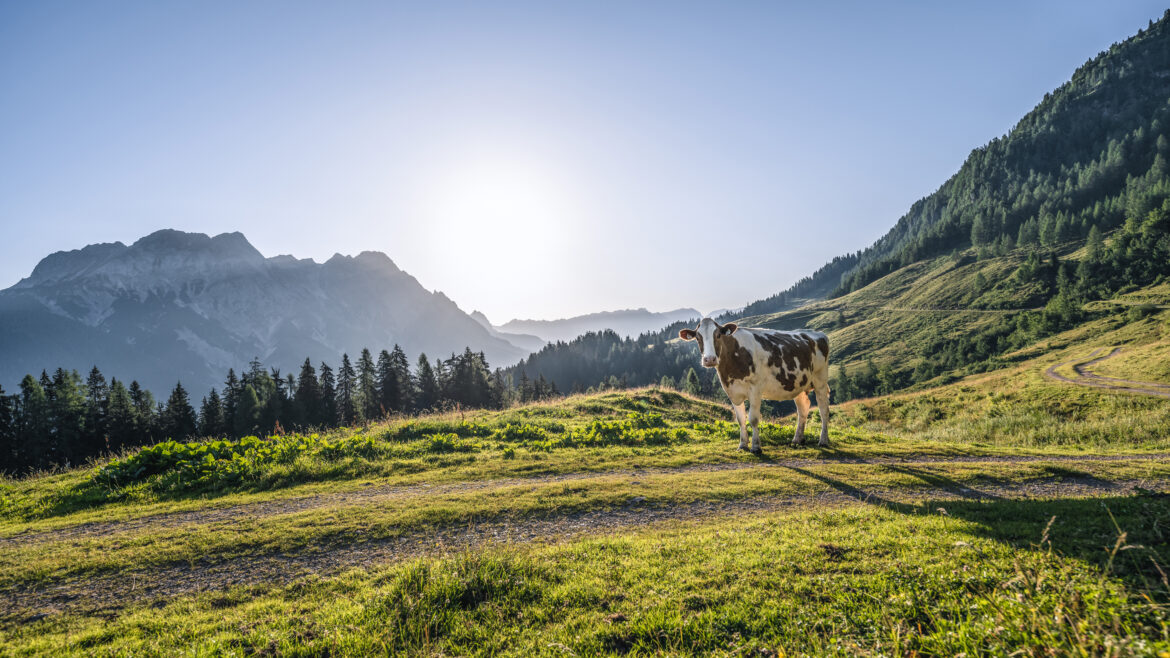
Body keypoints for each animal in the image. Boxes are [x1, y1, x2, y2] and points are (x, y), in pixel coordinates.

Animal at [680, 318, 830, 453]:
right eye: (698, 338)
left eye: (718, 335)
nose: (709, 359)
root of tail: (818, 334)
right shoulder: (732, 391)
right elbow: (741, 419)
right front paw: (742, 445)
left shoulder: (755, 389)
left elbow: (753, 419)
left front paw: (756, 447)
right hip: (799, 384)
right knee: (803, 408)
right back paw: (797, 440)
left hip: (820, 380)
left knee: (823, 410)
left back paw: (823, 440)